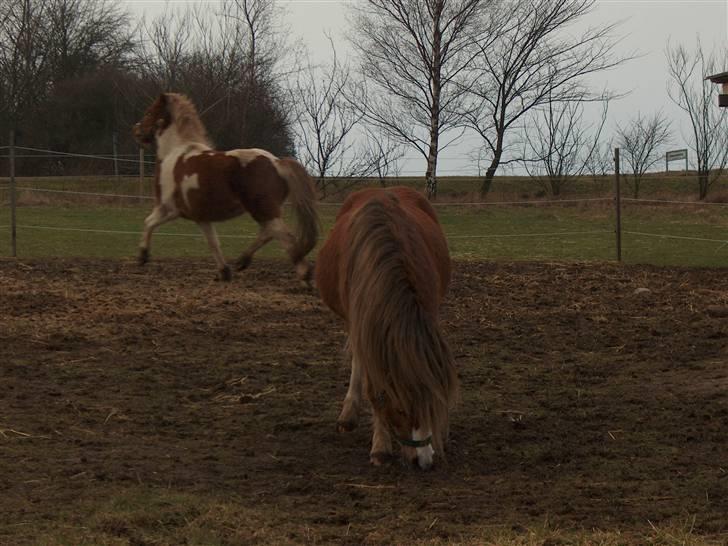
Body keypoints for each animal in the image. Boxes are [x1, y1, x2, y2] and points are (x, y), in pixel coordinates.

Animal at [133, 92, 318, 280]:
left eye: (149, 112)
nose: (137, 130)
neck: (175, 153)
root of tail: (277, 163)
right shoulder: (201, 217)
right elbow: (213, 242)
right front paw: (224, 272)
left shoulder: (169, 208)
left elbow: (148, 222)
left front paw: (143, 256)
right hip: (266, 211)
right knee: (268, 233)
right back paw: (242, 261)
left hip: (263, 209)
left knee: (284, 236)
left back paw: (305, 275)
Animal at [316, 187, 458, 468]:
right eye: (402, 409)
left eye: (434, 406)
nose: (425, 461)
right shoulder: (364, 329)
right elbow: (375, 389)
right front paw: (380, 446)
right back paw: (348, 415)